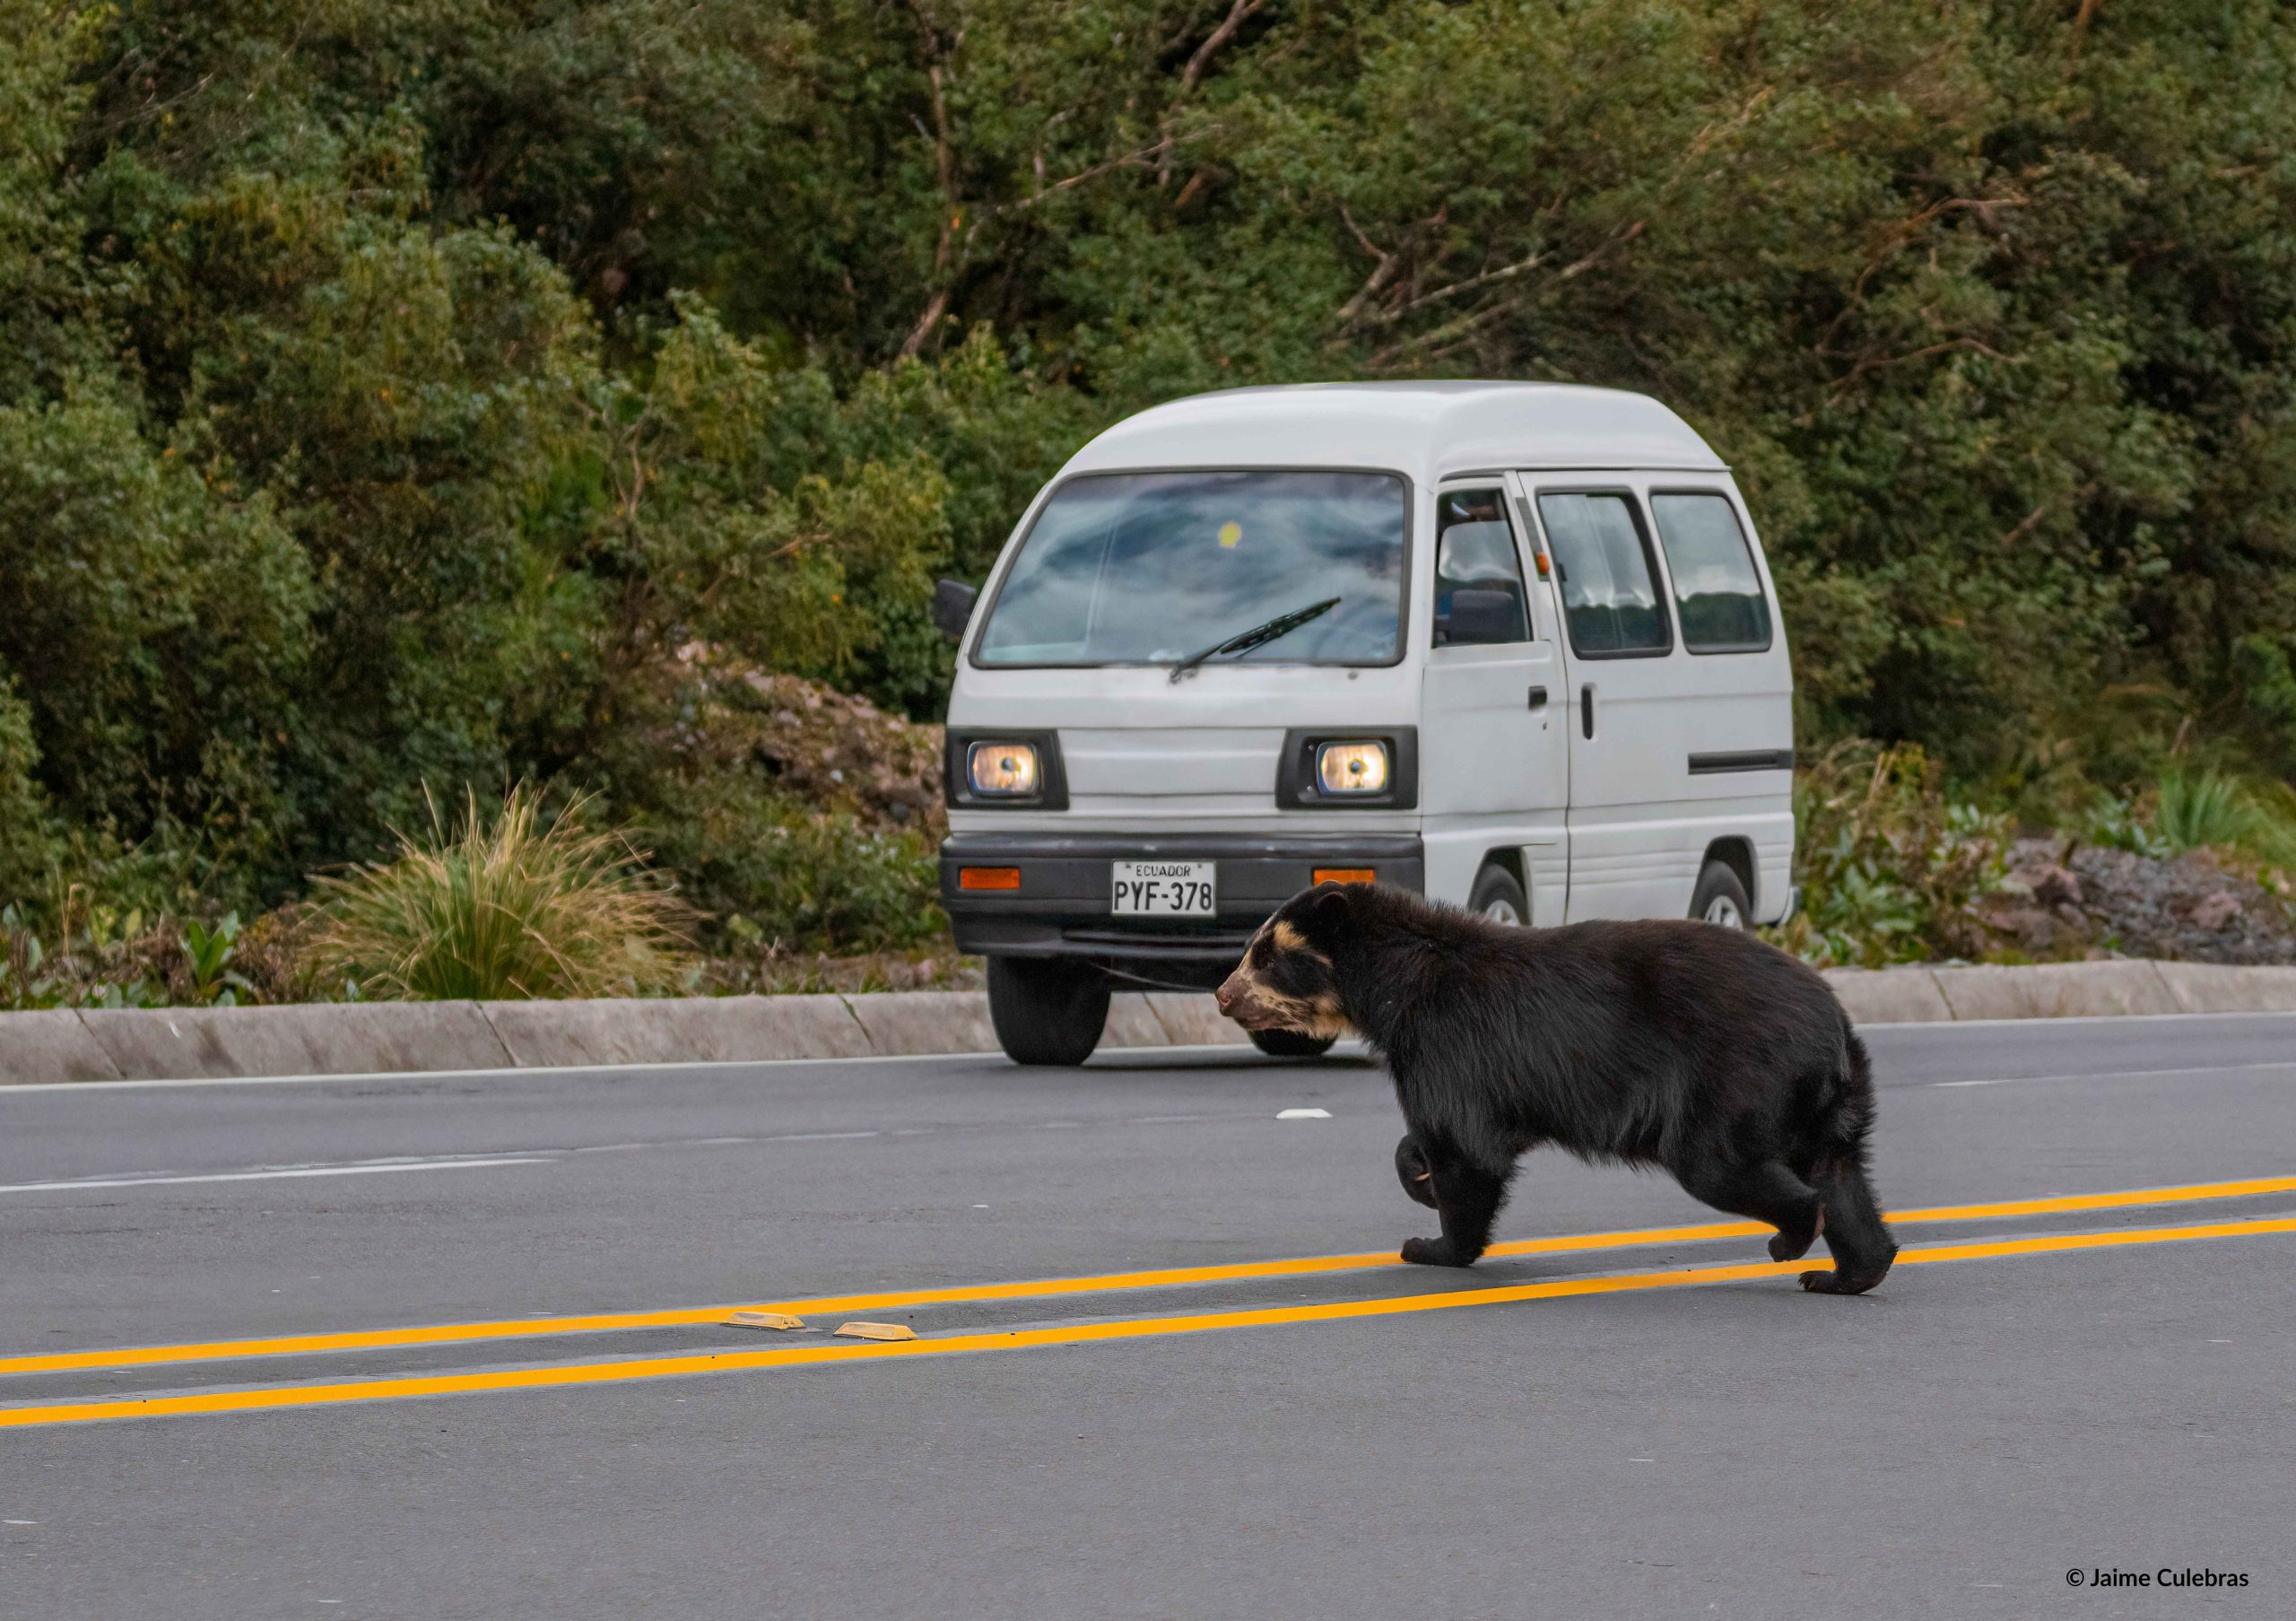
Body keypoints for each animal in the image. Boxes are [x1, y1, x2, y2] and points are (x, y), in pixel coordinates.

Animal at [1214, 881, 1898, 1295]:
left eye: (1265, 956)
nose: (1221, 995)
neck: (1395, 988)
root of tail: (1834, 1025)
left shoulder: (1449, 1041)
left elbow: (1466, 1147)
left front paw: (1432, 1243)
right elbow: (1449, 1137)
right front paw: (1417, 1174)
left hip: (1737, 1077)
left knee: (1722, 1165)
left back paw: (1791, 1238)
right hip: (1825, 1100)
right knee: (1841, 1175)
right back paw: (1849, 1272)